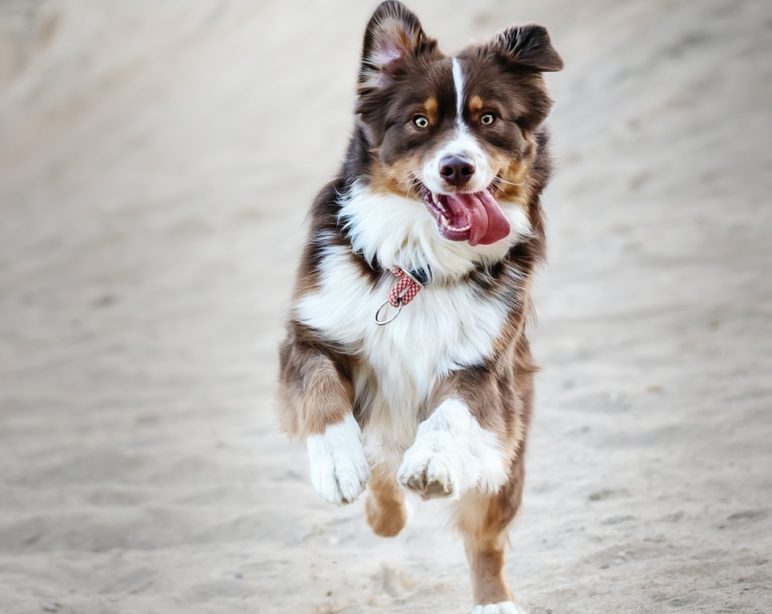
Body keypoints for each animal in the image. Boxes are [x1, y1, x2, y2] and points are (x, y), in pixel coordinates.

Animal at [278, 2, 560, 612]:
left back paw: (494, 599)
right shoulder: (311, 333)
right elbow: (321, 390)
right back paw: (379, 503)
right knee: (383, 473)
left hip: (509, 451)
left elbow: (450, 413)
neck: (419, 265)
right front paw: (339, 465)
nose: (457, 168)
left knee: (486, 538)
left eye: (488, 119)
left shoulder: (484, 366)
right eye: (420, 123)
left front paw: (430, 462)